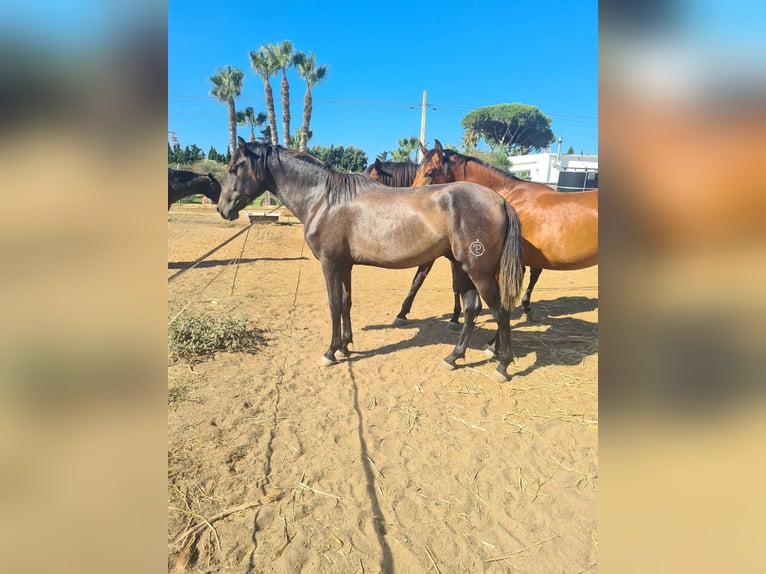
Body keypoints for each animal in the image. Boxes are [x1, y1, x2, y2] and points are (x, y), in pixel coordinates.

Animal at [219, 137, 524, 384]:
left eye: (234, 168)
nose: (223, 209)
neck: (325, 200)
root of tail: (501, 201)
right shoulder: (344, 265)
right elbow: (346, 303)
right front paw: (345, 345)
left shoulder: (330, 264)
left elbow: (333, 305)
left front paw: (330, 352)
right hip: (462, 267)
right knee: (472, 308)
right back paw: (454, 357)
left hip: (478, 271)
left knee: (500, 311)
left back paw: (502, 364)